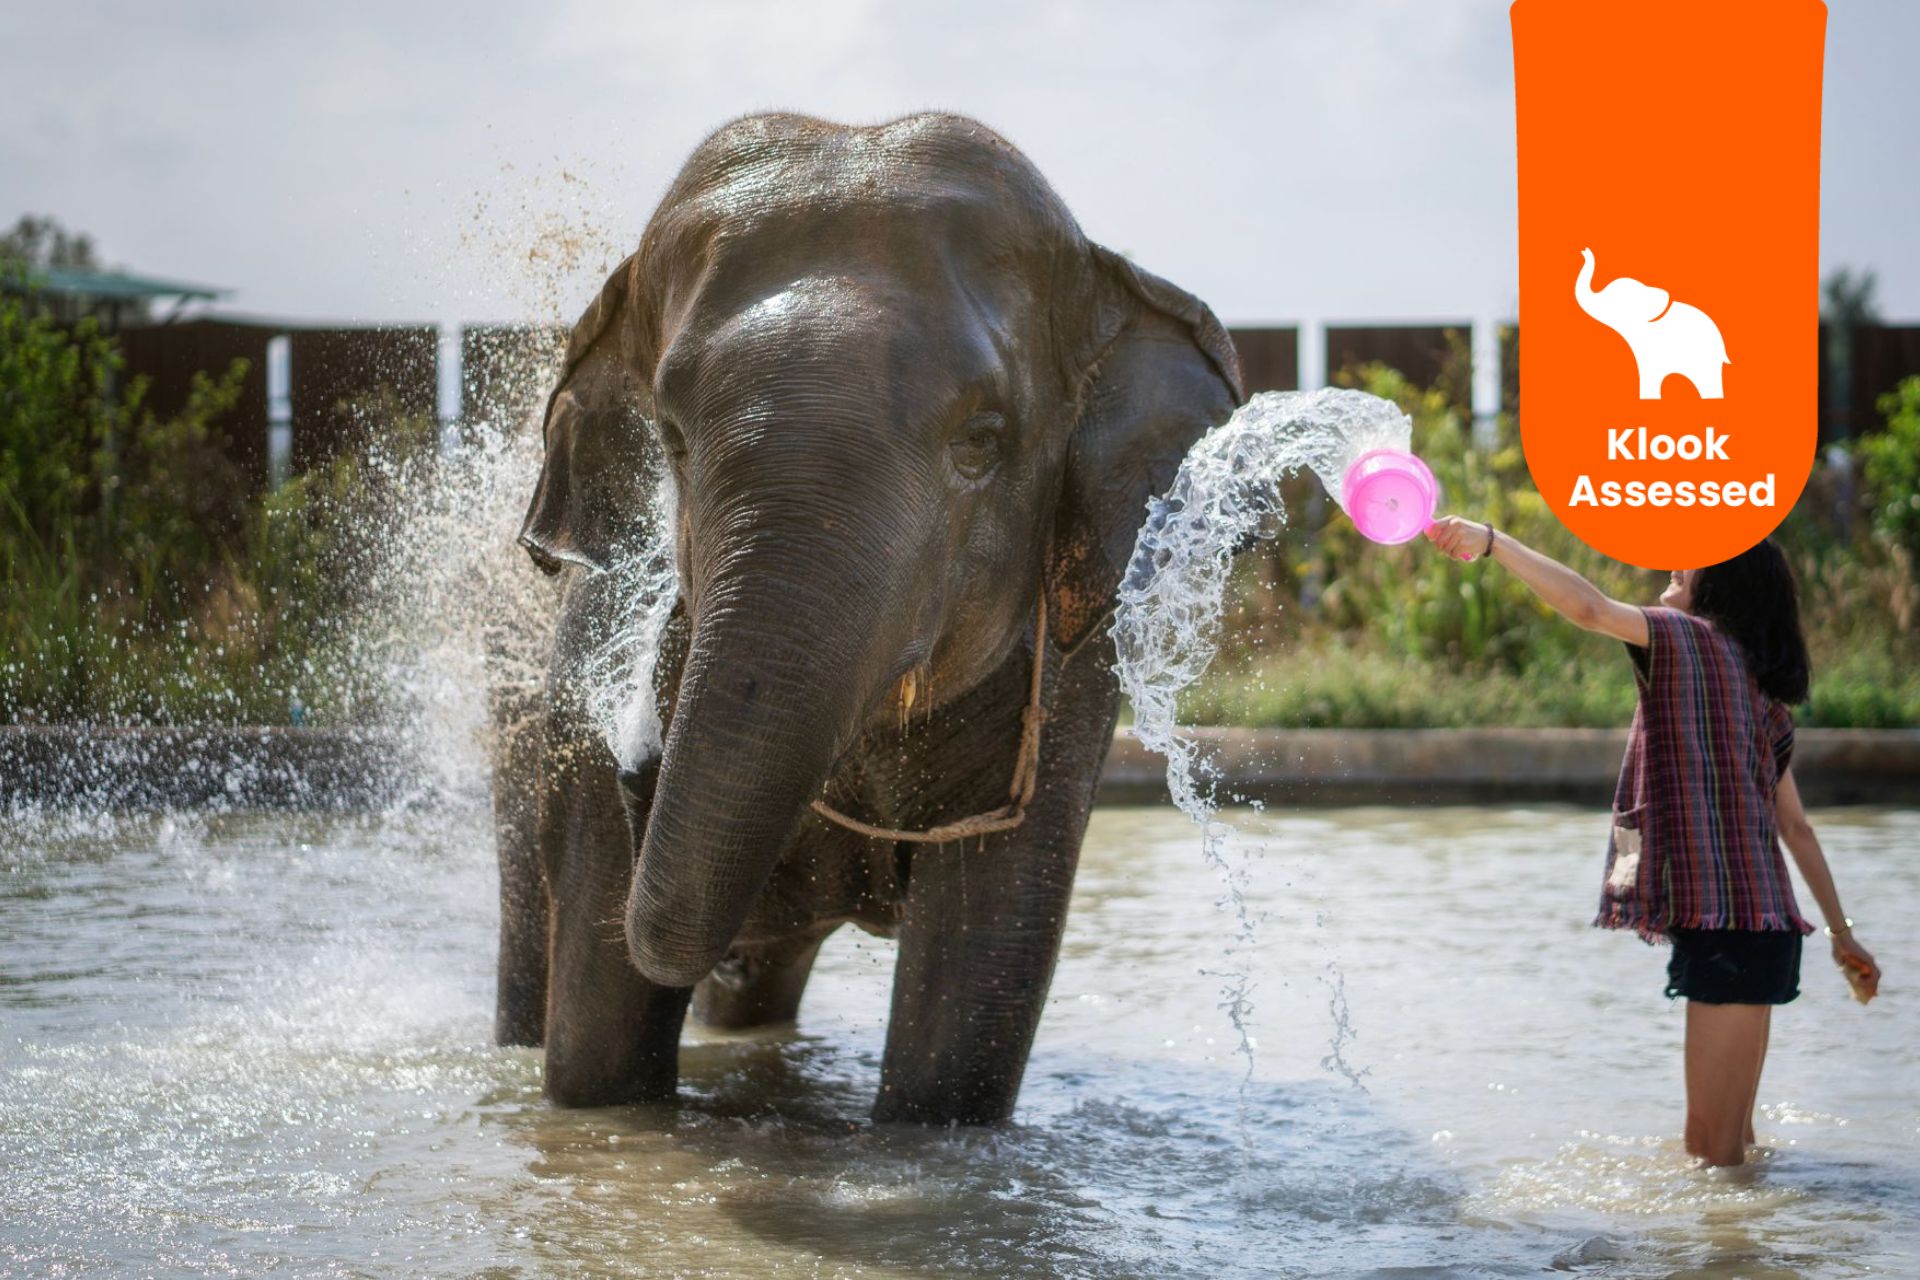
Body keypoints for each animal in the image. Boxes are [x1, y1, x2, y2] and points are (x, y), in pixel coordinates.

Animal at [490, 112, 1243, 1125]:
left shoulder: (1071, 680)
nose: (637, 758)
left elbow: (970, 1003)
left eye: (984, 441)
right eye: (672, 440)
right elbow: (597, 1055)